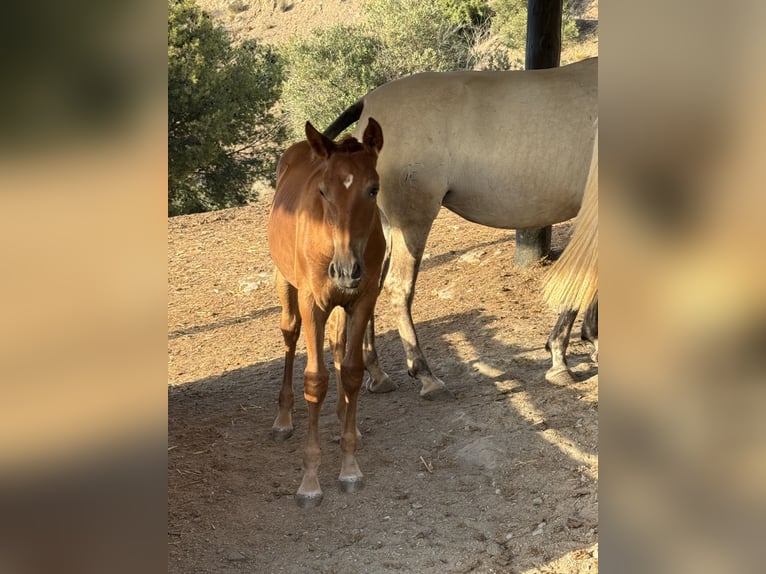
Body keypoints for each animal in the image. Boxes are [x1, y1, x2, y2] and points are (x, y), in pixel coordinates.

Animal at [272, 118, 390, 508]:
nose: (345, 270)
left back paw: (343, 421)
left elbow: (351, 371)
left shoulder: (363, 299)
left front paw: (350, 466)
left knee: (339, 347)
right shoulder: (313, 305)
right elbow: (315, 380)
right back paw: (283, 418)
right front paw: (309, 481)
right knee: (290, 334)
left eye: (373, 189)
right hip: (285, 282)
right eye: (323, 192)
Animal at [324, 58, 600, 400]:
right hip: (411, 224)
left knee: (369, 285)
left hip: (382, 228)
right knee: (398, 288)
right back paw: (425, 374)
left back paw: (377, 373)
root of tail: (369, 102)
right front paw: (562, 356)